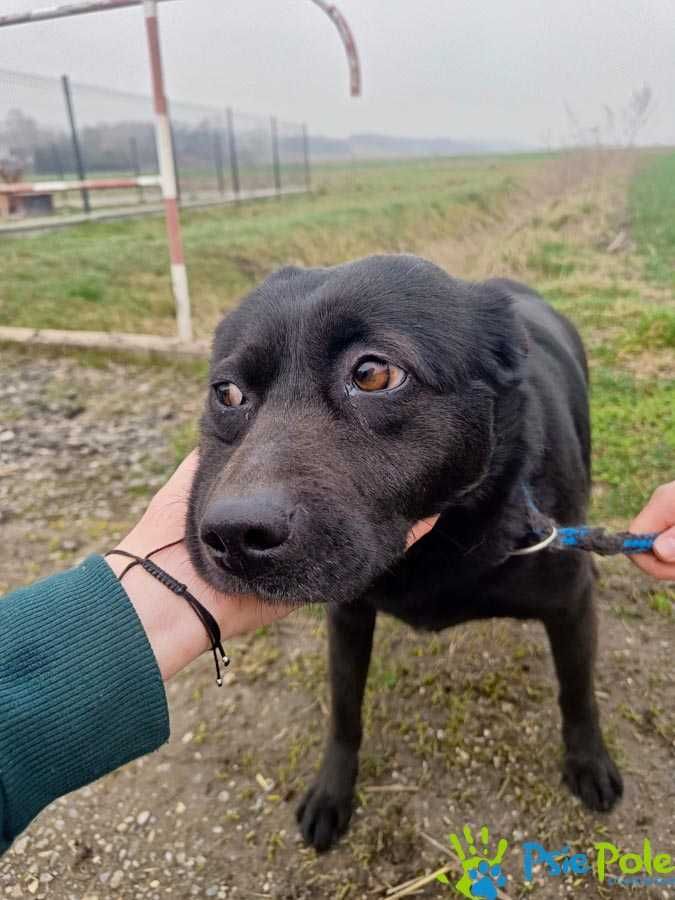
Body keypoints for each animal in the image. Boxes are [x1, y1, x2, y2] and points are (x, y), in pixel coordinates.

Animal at [185, 253, 624, 852]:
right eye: (226, 393)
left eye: (373, 374)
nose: (232, 536)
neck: (434, 550)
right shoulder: (348, 616)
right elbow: (344, 710)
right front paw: (332, 791)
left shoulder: (570, 605)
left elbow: (578, 693)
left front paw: (589, 761)